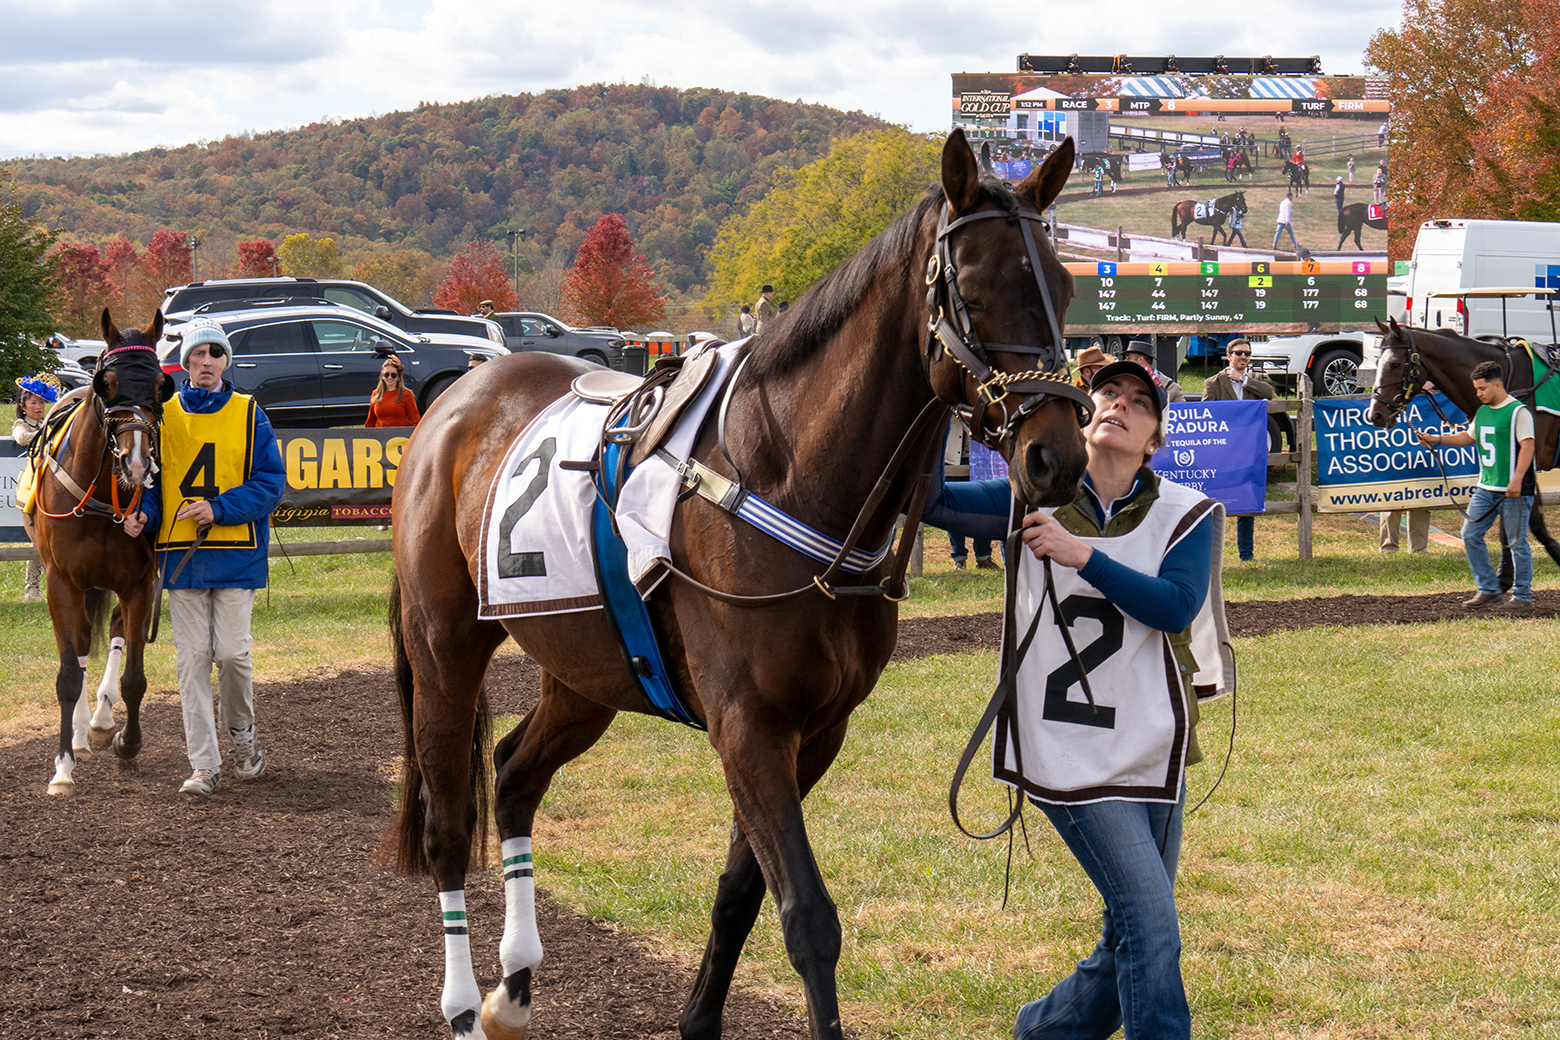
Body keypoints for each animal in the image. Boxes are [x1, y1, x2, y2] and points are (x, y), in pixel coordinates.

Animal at [33, 309, 173, 795]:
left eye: (160, 385)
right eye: (106, 381)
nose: (137, 462)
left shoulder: (139, 583)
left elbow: (134, 678)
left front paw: (127, 744)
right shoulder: (60, 581)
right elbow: (67, 673)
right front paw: (62, 768)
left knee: (109, 633)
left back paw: (98, 720)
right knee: (76, 643)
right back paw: (77, 732)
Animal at [385, 128, 1093, 1040]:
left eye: (1065, 285)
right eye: (973, 290)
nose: (1056, 457)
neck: (782, 471)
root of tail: (458, 397)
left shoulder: (815, 732)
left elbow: (739, 892)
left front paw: (698, 1017)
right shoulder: (748, 725)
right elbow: (807, 917)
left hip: (585, 670)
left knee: (511, 775)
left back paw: (514, 988)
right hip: (445, 647)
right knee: (447, 824)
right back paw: (468, 1007)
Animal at [1366, 317, 1560, 579]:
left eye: (1395, 364)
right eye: (1377, 361)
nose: (1375, 414)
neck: (1513, 385)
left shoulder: (1525, 466)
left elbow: (1532, 524)